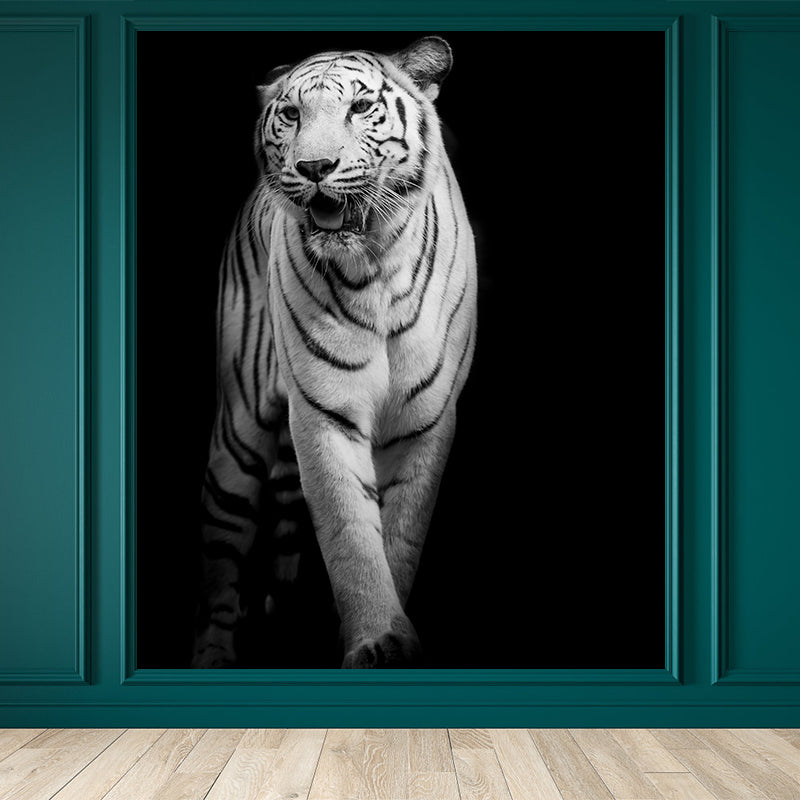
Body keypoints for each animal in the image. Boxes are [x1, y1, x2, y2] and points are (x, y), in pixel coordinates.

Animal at [191, 36, 477, 669]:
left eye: (361, 107)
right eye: (292, 114)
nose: (314, 168)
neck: (375, 266)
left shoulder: (426, 420)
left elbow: (399, 533)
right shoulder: (324, 414)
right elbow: (349, 534)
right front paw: (377, 639)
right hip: (238, 434)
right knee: (220, 563)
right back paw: (214, 653)